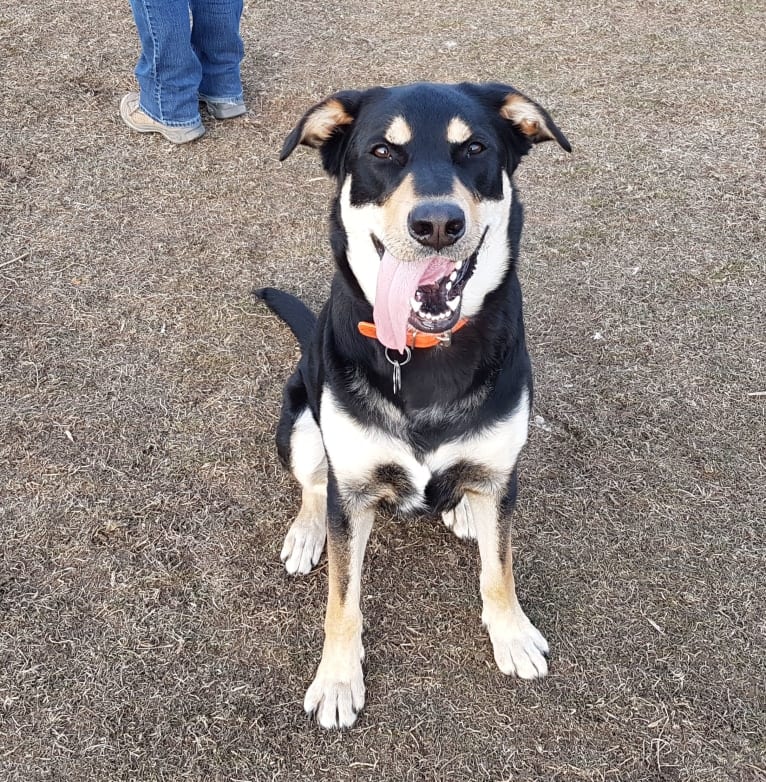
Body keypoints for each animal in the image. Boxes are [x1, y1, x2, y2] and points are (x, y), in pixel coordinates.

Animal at [258, 82, 568, 732]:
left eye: (474, 148)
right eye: (382, 151)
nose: (437, 223)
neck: (424, 353)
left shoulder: (503, 472)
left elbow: (499, 569)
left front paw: (511, 634)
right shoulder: (351, 490)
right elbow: (342, 598)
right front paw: (337, 679)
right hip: (299, 421)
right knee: (313, 484)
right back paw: (306, 533)